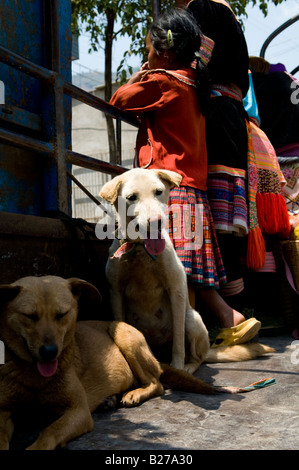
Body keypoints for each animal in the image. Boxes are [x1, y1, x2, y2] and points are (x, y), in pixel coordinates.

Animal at [0, 276, 274, 452]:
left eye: (62, 315)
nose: (49, 353)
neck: (32, 375)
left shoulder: (78, 412)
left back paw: (133, 394)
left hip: (123, 334)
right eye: (29, 317)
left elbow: (49, 431)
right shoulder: (4, 411)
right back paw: (109, 400)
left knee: (157, 384)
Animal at [100, 169, 274, 374]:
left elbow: (178, 340)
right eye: (131, 197)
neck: (141, 249)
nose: (157, 222)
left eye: (158, 192)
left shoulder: (176, 291)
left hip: (192, 319)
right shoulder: (115, 293)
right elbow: (121, 326)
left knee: (197, 357)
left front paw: (178, 366)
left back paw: (187, 367)